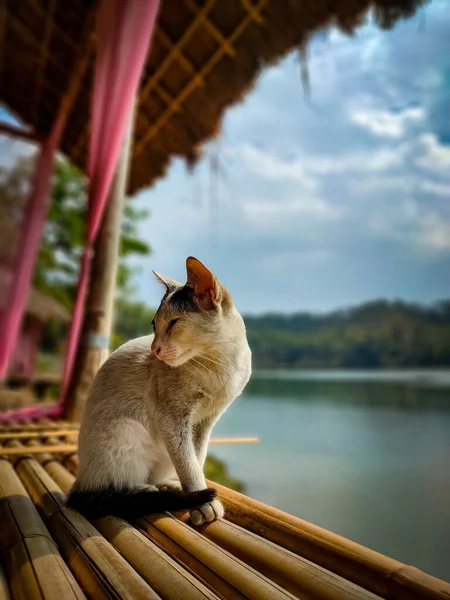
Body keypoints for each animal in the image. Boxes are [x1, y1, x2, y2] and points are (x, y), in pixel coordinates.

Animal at [67, 256, 251, 524]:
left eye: (173, 323)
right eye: (154, 325)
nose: (154, 350)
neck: (218, 367)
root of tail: (77, 483)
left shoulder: (203, 423)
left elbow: (197, 459)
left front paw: (197, 493)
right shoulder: (172, 420)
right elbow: (189, 465)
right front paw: (203, 502)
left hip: (161, 449)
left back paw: (168, 486)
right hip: (127, 431)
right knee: (111, 487)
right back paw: (146, 490)